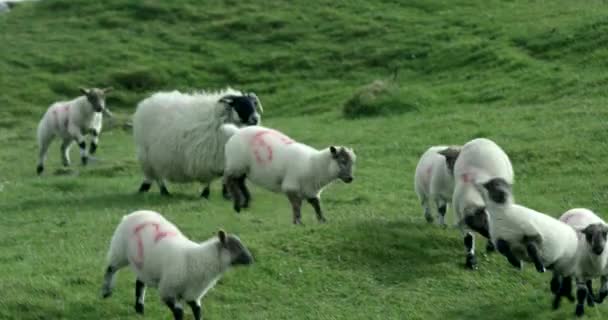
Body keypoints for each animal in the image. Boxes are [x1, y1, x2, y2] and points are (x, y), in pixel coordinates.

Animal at [101, 210, 253, 320]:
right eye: (235, 248)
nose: (251, 260)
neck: (200, 259)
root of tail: (132, 214)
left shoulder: (193, 294)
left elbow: (197, 311)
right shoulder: (167, 290)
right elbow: (179, 313)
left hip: (146, 266)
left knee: (140, 283)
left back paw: (140, 309)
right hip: (119, 251)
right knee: (110, 269)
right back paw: (106, 292)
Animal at [133, 87, 262, 198]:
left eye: (254, 104)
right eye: (240, 105)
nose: (255, 119)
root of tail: (146, 103)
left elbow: (226, 175)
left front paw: (227, 194)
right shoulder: (208, 158)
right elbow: (209, 179)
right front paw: (205, 194)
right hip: (148, 154)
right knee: (156, 176)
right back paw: (163, 192)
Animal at [223, 125, 356, 225]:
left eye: (352, 163)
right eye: (342, 161)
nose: (350, 178)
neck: (314, 165)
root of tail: (237, 131)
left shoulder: (311, 191)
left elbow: (317, 205)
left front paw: (322, 220)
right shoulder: (291, 186)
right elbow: (296, 205)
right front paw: (298, 222)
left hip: (243, 168)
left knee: (239, 182)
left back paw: (245, 203)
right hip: (236, 164)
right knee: (229, 180)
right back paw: (237, 205)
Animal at [436, 137, 512, 268]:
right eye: (480, 225)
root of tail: (480, 139)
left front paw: (490, 247)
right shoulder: (462, 217)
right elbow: (468, 239)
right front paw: (470, 261)